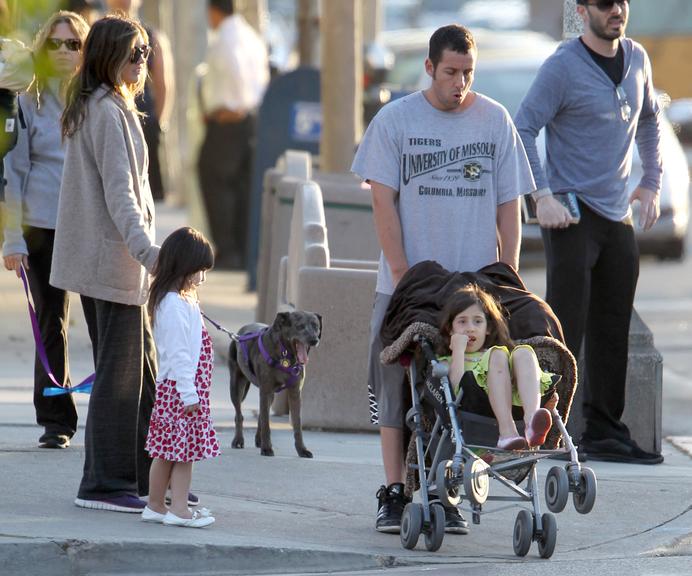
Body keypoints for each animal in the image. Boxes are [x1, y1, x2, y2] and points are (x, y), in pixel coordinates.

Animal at [230, 310, 322, 460]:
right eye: (300, 326)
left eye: (316, 326)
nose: (314, 340)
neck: (286, 354)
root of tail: (238, 334)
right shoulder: (265, 390)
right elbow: (266, 423)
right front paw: (267, 448)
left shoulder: (295, 393)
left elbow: (297, 425)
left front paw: (302, 450)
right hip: (236, 386)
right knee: (239, 415)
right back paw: (238, 440)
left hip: (270, 394)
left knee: (262, 414)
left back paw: (259, 439)